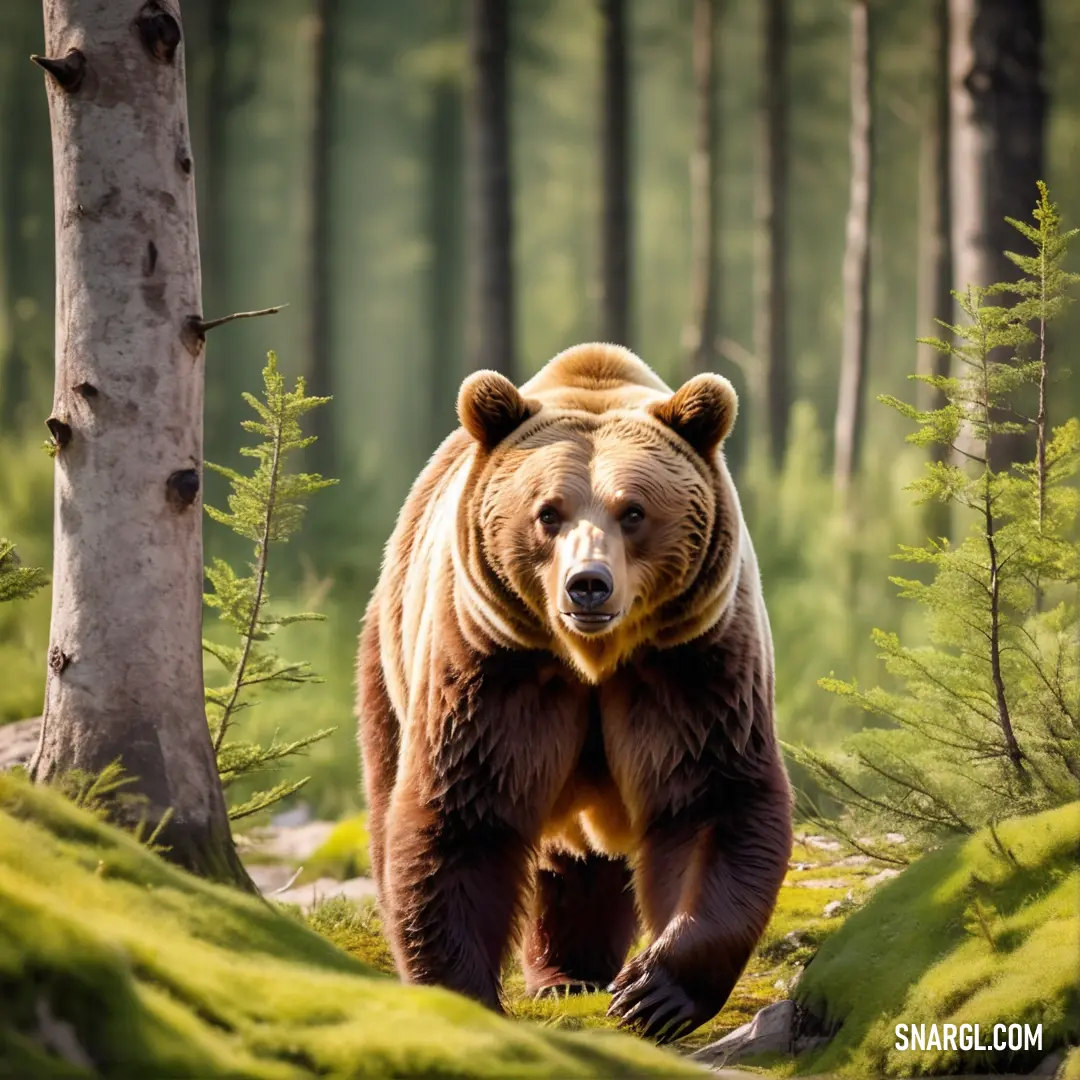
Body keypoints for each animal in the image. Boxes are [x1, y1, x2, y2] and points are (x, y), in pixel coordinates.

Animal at [358, 341, 790, 1041]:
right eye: (548, 513)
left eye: (633, 510)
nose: (588, 585)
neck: (592, 661)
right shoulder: (494, 666)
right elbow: (463, 813)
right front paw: (464, 993)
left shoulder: (692, 666)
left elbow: (711, 801)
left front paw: (650, 992)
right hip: (391, 654)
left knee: (579, 859)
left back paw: (575, 972)